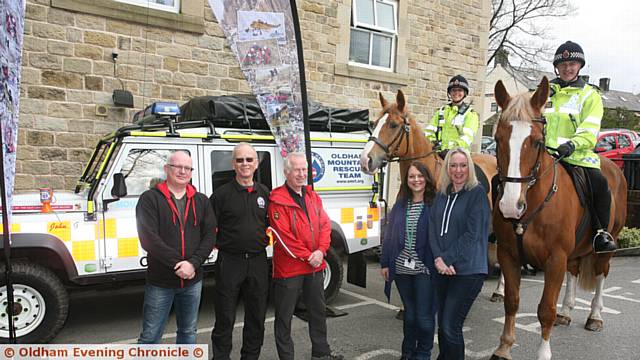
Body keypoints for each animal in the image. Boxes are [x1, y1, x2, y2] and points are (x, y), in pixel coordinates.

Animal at [490, 76, 624, 360]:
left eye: (537, 141)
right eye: (497, 139)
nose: (510, 206)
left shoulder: (555, 259)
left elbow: (545, 310)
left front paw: (543, 353)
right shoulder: (509, 254)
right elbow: (512, 302)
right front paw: (504, 347)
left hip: (607, 246)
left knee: (601, 274)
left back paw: (595, 316)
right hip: (573, 253)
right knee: (574, 271)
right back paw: (567, 311)